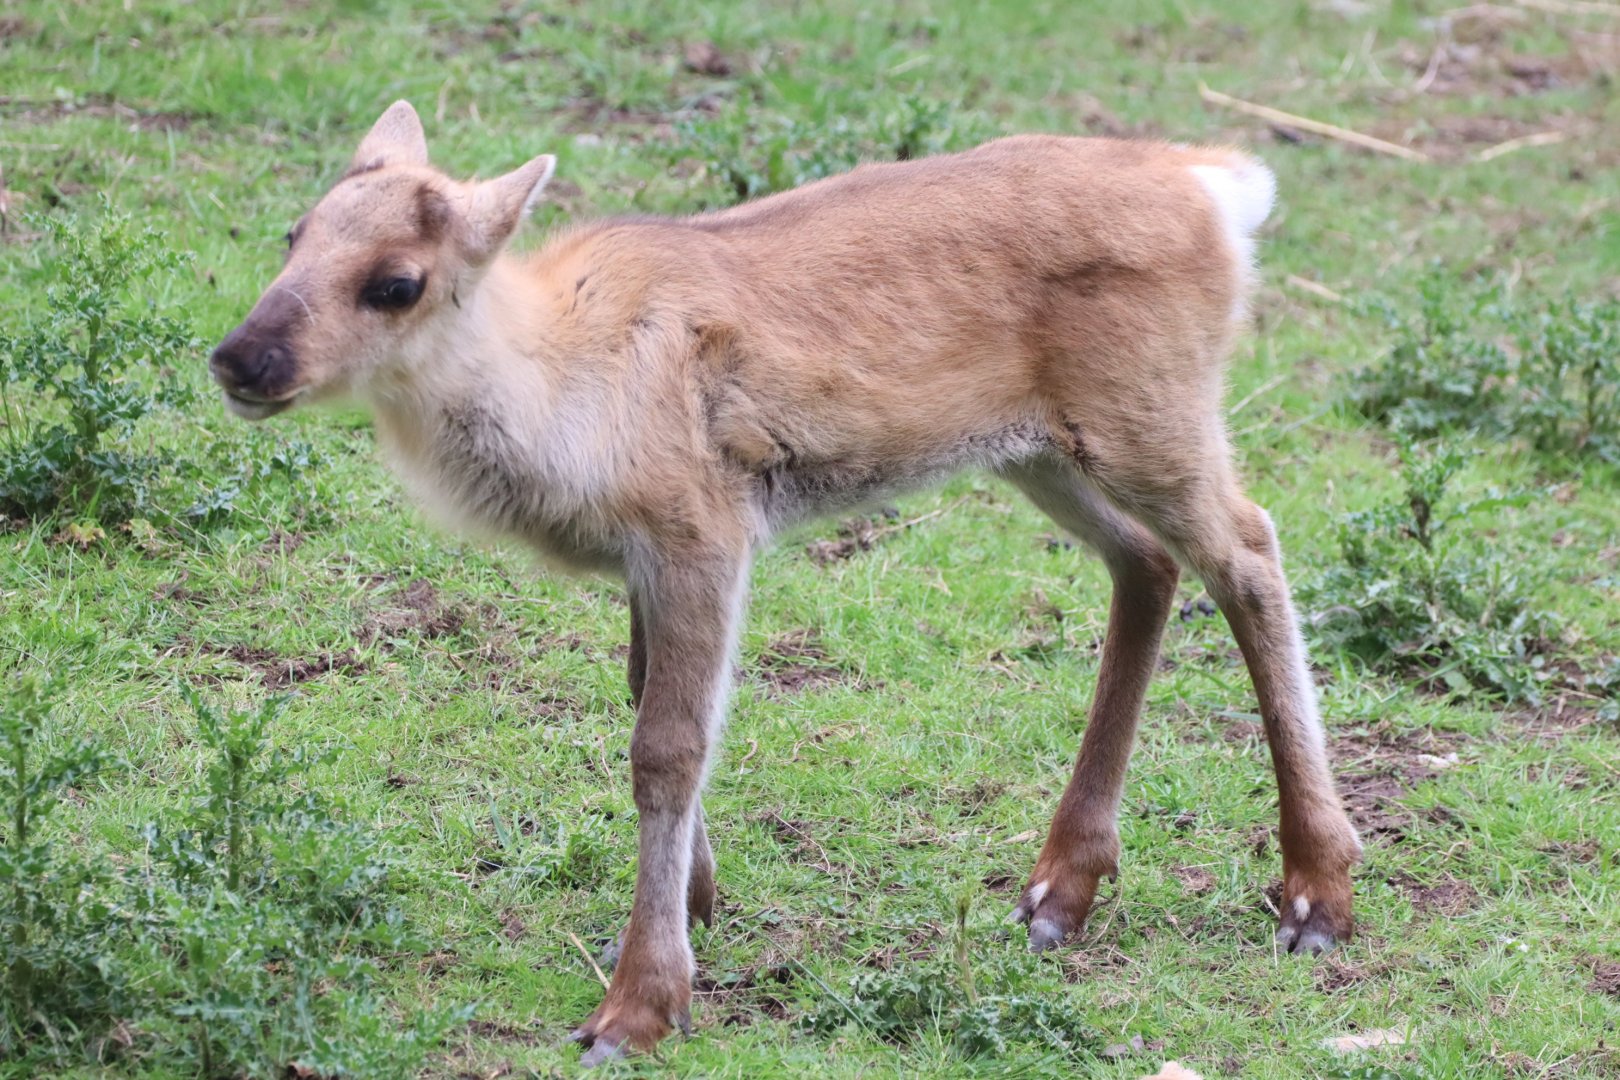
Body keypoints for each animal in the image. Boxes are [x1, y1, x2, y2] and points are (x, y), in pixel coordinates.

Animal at [210, 101, 1361, 1064]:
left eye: (396, 281)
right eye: (294, 235)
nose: (240, 358)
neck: (564, 395)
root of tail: (1220, 187)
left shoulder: (703, 526)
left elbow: (667, 746)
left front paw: (640, 1004)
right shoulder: (649, 558)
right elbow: (649, 703)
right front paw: (698, 905)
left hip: (1149, 415)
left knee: (1249, 550)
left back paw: (1316, 895)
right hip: (1037, 450)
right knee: (1149, 562)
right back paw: (1058, 892)